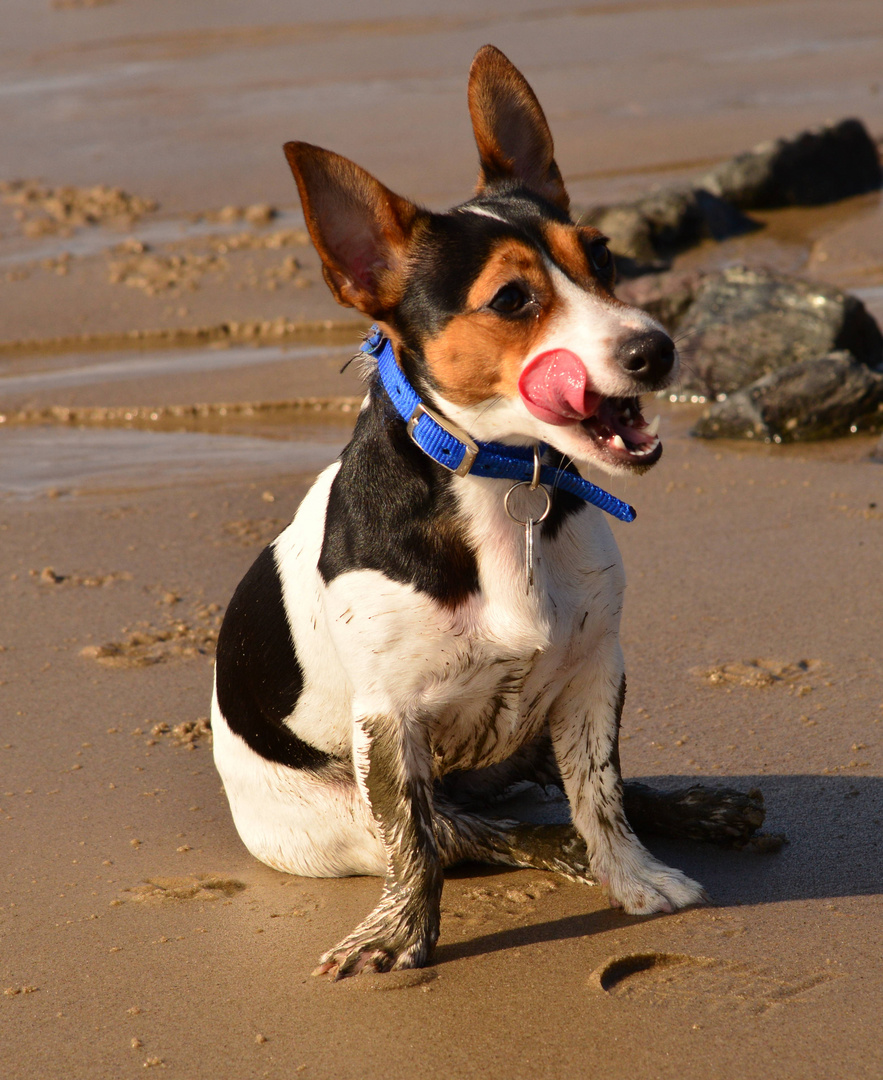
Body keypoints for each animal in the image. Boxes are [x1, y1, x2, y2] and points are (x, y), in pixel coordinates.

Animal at [209, 44, 759, 980]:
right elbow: (415, 844)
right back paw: (547, 849)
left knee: (560, 794)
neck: (507, 485)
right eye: (510, 299)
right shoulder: (388, 726)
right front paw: (401, 937)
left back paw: (700, 809)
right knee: (464, 831)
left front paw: (634, 876)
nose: (657, 349)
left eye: (604, 257)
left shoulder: (594, 672)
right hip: (329, 814)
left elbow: (602, 791)